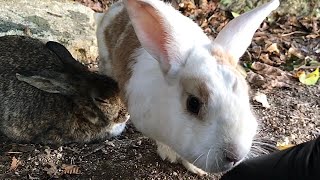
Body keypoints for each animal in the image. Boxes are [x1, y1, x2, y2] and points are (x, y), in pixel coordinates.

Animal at [95, 0, 280, 175]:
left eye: (246, 94)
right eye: (193, 104)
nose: (235, 155)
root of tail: (117, 7)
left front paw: (196, 169)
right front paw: (168, 154)